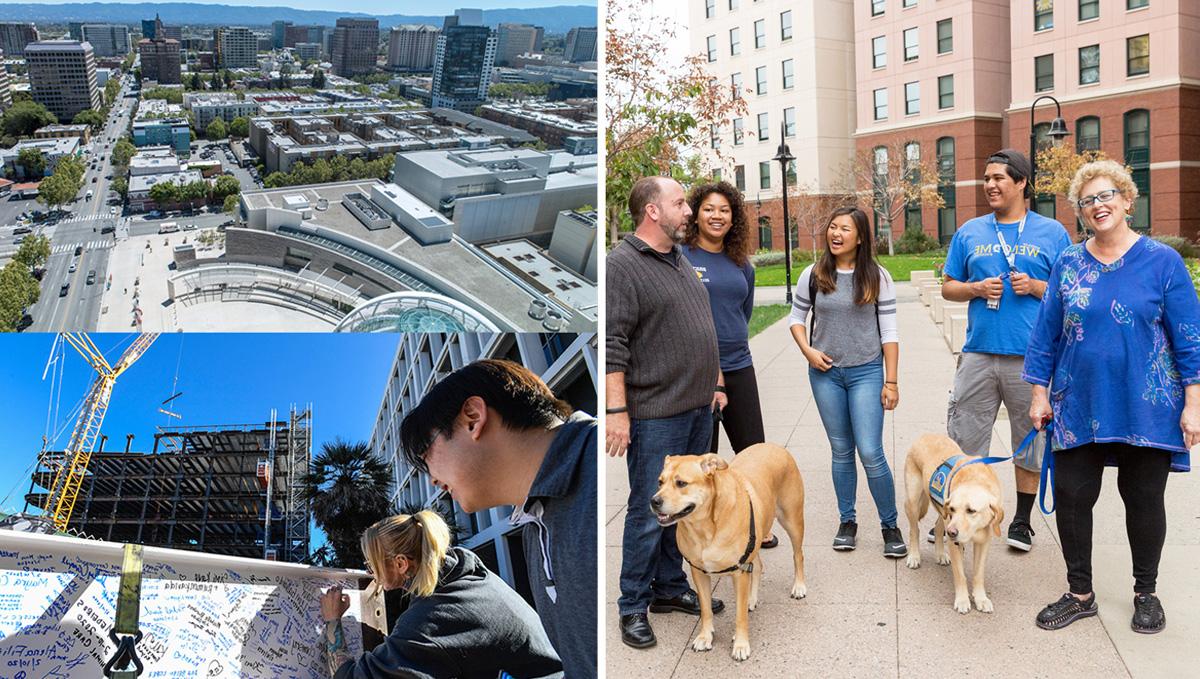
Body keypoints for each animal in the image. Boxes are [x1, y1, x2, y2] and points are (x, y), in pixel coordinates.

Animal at [648, 443, 806, 662]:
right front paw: (705, 637)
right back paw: (751, 599)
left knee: (798, 555)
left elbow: (740, 617)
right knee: (758, 565)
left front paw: (741, 644)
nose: (654, 501)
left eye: (681, 483)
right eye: (659, 482)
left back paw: (798, 587)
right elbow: (706, 609)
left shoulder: (739, 572)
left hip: (792, 520)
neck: (704, 527)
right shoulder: (699, 572)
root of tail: (774, 446)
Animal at [902, 436, 1008, 619]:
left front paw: (981, 598)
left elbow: (978, 574)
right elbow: (960, 575)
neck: (976, 479)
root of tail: (925, 435)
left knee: (938, 527)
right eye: (953, 509)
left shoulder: (983, 542)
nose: (952, 533)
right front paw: (963, 601)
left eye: (971, 510)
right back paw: (914, 556)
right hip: (914, 502)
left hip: (941, 512)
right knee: (914, 530)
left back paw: (940, 554)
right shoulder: (954, 541)